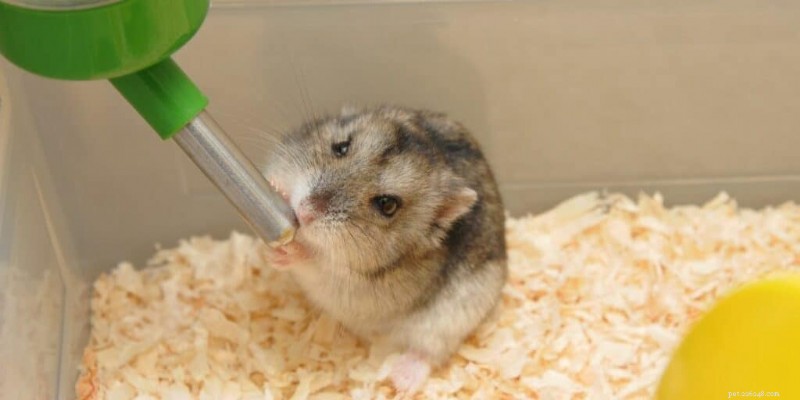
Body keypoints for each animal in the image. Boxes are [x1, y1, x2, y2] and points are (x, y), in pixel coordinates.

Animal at [261, 105, 507, 392]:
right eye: (341, 147)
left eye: (387, 205)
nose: (304, 212)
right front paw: (277, 187)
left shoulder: (353, 285)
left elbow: (317, 263)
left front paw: (286, 252)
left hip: (451, 321)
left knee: (429, 352)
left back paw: (400, 382)